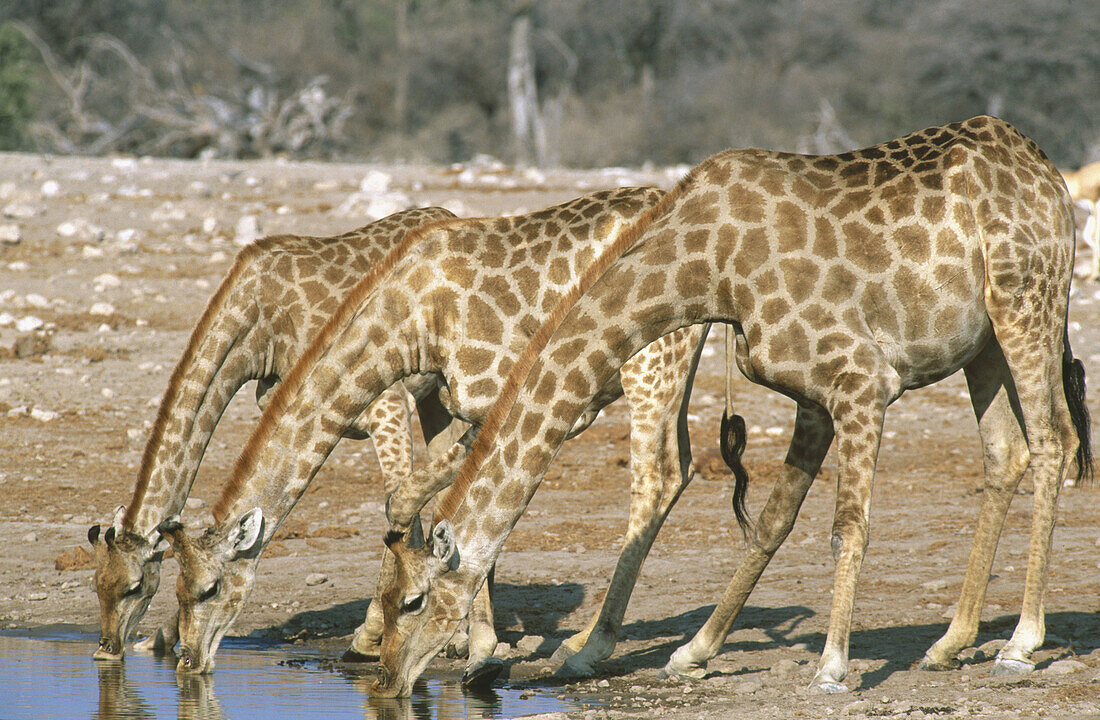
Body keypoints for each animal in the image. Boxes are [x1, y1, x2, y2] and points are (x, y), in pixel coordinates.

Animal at [80, 205, 451, 663]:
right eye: (97, 584)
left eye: (133, 586)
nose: (106, 649)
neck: (257, 327)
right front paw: (164, 638)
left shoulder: (386, 404)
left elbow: (399, 507)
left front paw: (370, 638)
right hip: (435, 396)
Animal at [155, 185, 712, 681]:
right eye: (174, 589)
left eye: (208, 588)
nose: (187, 660)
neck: (413, 317)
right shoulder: (456, 400)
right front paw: (469, 643)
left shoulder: (509, 400)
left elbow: (409, 501)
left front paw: (398, 637)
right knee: (684, 467)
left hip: (650, 365)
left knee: (658, 478)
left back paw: (599, 648)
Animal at [376, 117, 1091, 699]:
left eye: (412, 601)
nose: (386, 679)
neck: (708, 267)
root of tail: (1048, 173)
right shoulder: (812, 394)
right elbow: (771, 523)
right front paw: (691, 653)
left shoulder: (862, 380)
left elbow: (848, 525)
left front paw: (831, 668)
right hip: (982, 342)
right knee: (1006, 450)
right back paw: (950, 642)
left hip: (1027, 302)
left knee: (1054, 441)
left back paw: (1020, 643)